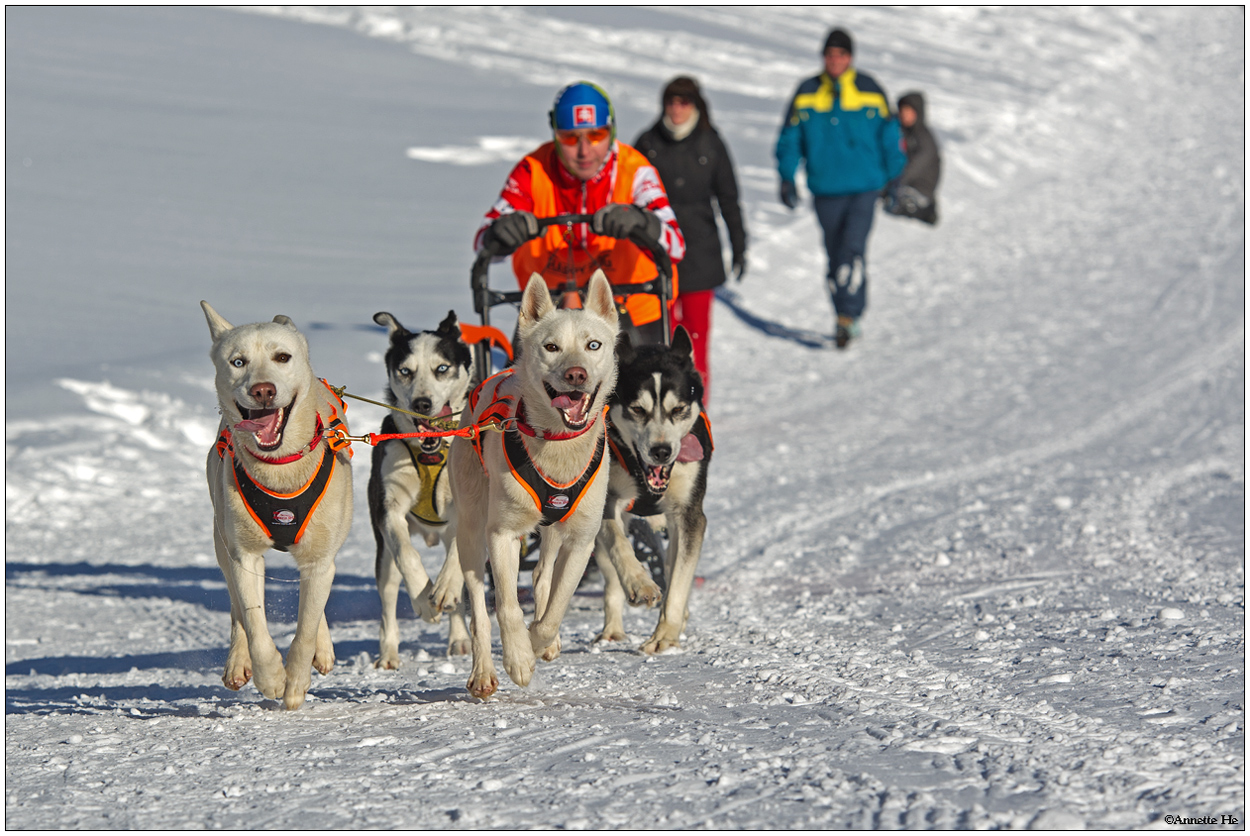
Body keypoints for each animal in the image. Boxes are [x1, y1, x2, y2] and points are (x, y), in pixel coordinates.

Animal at [201, 303, 355, 709]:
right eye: (238, 361)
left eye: (281, 357)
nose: (263, 390)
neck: (280, 469)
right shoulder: (245, 555)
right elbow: (254, 620)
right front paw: (271, 676)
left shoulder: (319, 559)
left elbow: (306, 628)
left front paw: (296, 682)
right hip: (222, 541)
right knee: (237, 608)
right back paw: (238, 662)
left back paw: (322, 650)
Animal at [370, 308, 472, 664]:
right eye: (405, 371)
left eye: (442, 368)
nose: (422, 403)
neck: (432, 452)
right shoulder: (389, 511)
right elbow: (407, 553)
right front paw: (422, 597)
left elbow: (456, 562)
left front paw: (443, 589)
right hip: (383, 559)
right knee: (387, 596)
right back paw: (388, 653)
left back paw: (460, 637)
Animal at [455, 271, 620, 694]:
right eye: (551, 346)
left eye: (593, 345)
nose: (576, 374)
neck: (557, 445)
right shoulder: (502, 534)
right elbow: (507, 607)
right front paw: (518, 656)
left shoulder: (581, 540)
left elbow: (556, 606)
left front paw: (538, 641)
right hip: (471, 530)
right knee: (479, 603)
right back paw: (483, 671)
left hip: (554, 529)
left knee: (542, 574)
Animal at [597, 324, 715, 649]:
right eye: (637, 409)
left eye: (679, 409)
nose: (661, 451)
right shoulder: (605, 503)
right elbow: (619, 544)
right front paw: (640, 584)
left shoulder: (689, 516)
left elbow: (677, 583)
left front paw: (665, 634)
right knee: (611, 578)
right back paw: (612, 628)